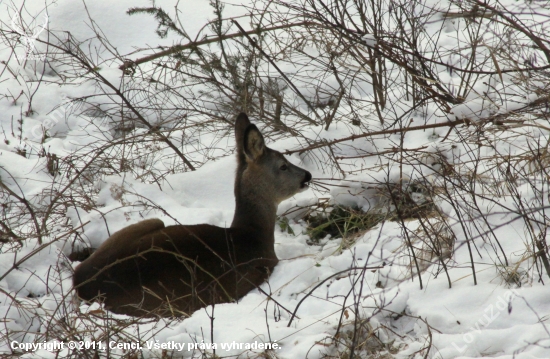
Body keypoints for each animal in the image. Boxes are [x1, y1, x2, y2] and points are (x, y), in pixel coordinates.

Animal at [73, 113, 312, 318]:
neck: (253, 234)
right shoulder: (264, 269)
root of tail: (83, 284)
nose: (308, 175)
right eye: (283, 166)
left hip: (148, 223)